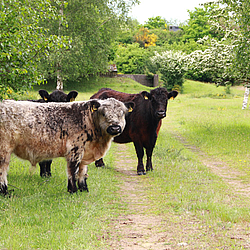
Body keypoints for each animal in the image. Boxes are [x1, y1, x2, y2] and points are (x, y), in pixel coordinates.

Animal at [0, 97, 133, 193]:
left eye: (122, 113)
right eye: (103, 113)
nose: (115, 127)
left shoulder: (84, 152)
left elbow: (83, 171)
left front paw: (84, 189)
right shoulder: (75, 150)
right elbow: (73, 171)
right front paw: (73, 190)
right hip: (4, 150)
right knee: (2, 171)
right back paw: (5, 192)